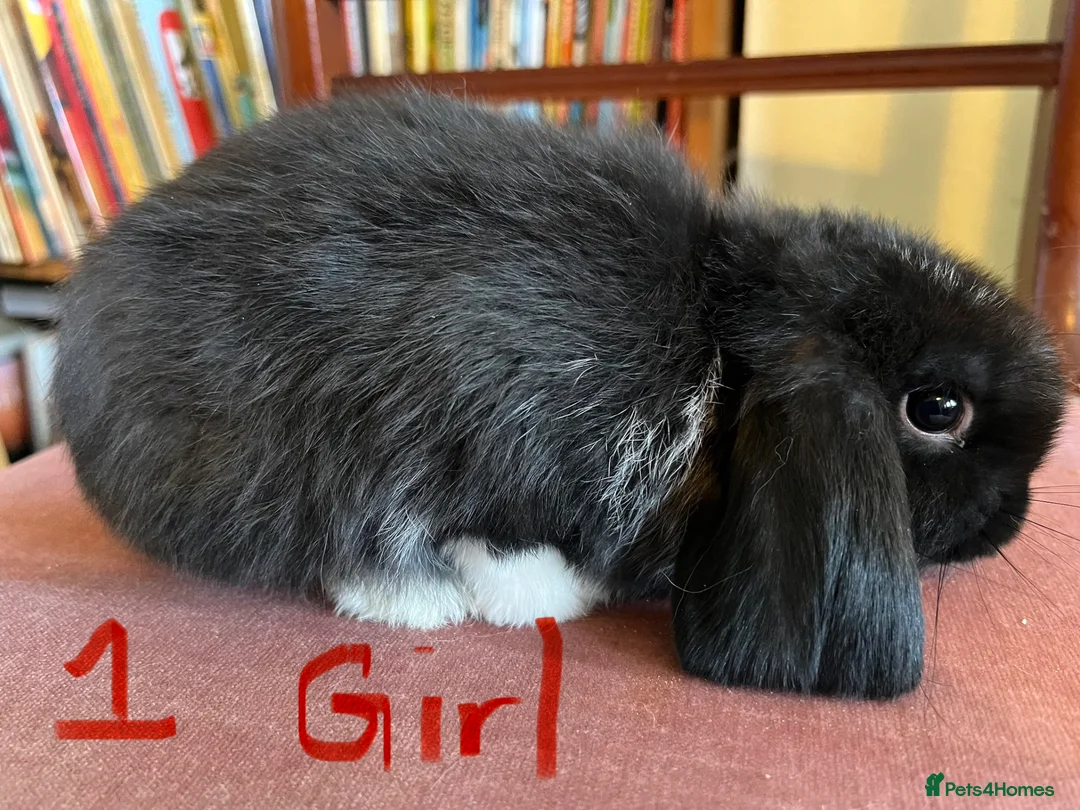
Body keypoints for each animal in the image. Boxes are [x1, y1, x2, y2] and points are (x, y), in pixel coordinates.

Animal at [54, 91, 1067, 699]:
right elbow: (497, 536)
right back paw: (413, 599)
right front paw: (544, 600)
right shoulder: (500, 432)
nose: (1010, 523)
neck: (718, 346)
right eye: (936, 411)